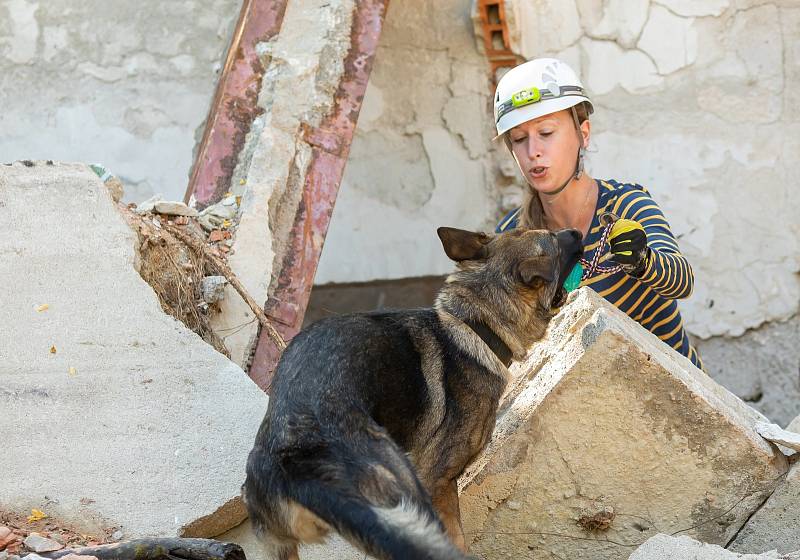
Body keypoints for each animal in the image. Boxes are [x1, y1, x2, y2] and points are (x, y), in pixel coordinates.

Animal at [242, 225, 580, 556]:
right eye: (553, 240)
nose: (577, 231)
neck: (474, 326)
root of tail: (296, 456)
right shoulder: (437, 481)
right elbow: (458, 539)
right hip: (407, 493)